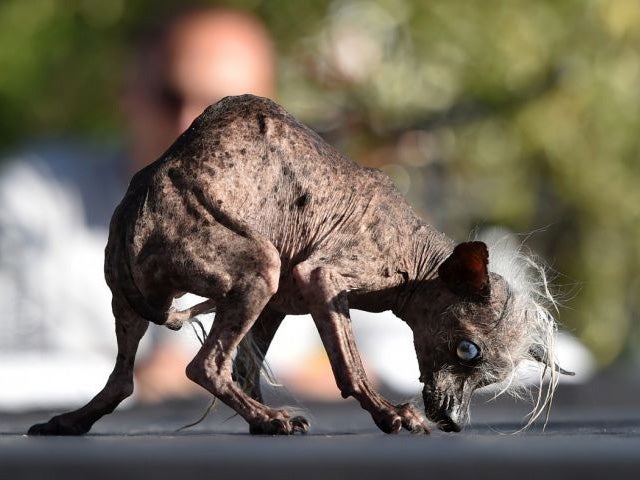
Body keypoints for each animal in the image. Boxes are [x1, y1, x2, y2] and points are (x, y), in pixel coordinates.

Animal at [27, 95, 572, 436]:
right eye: (467, 351)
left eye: (491, 378)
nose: (455, 422)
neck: (414, 257)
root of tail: (143, 191)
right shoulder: (324, 278)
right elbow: (349, 367)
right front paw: (389, 415)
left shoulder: (279, 304)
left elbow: (247, 367)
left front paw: (259, 417)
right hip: (259, 267)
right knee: (203, 365)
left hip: (141, 295)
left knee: (125, 378)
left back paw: (70, 421)